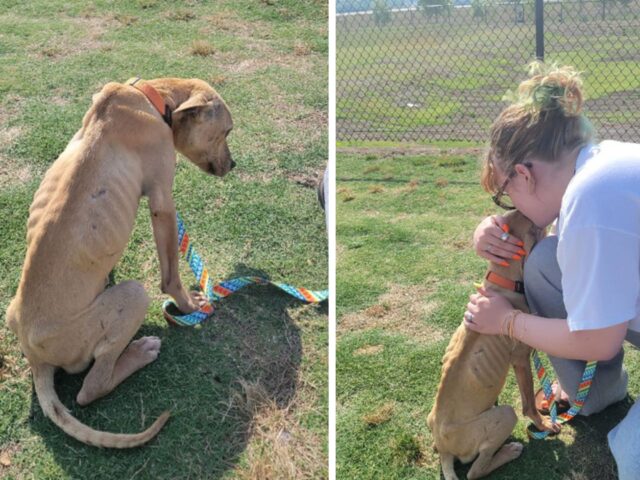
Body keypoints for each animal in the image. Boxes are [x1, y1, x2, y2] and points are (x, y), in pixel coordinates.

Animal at [6, 77, 235, 448]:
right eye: (226, 131)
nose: (234, 165)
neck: (151, 95)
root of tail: (36, 357)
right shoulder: (162, 202)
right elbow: (171, 273)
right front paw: (190, 305)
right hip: (132, 297)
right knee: (90, 389)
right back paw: (140, 352)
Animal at [428, 212, 556, 478]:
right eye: (533, 226)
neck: (502, 281)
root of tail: (444, 448)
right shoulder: (521, 359)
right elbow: (529, 403)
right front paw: (544, 423)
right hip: (505, 414)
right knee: (475, 471)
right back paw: (509, 451)